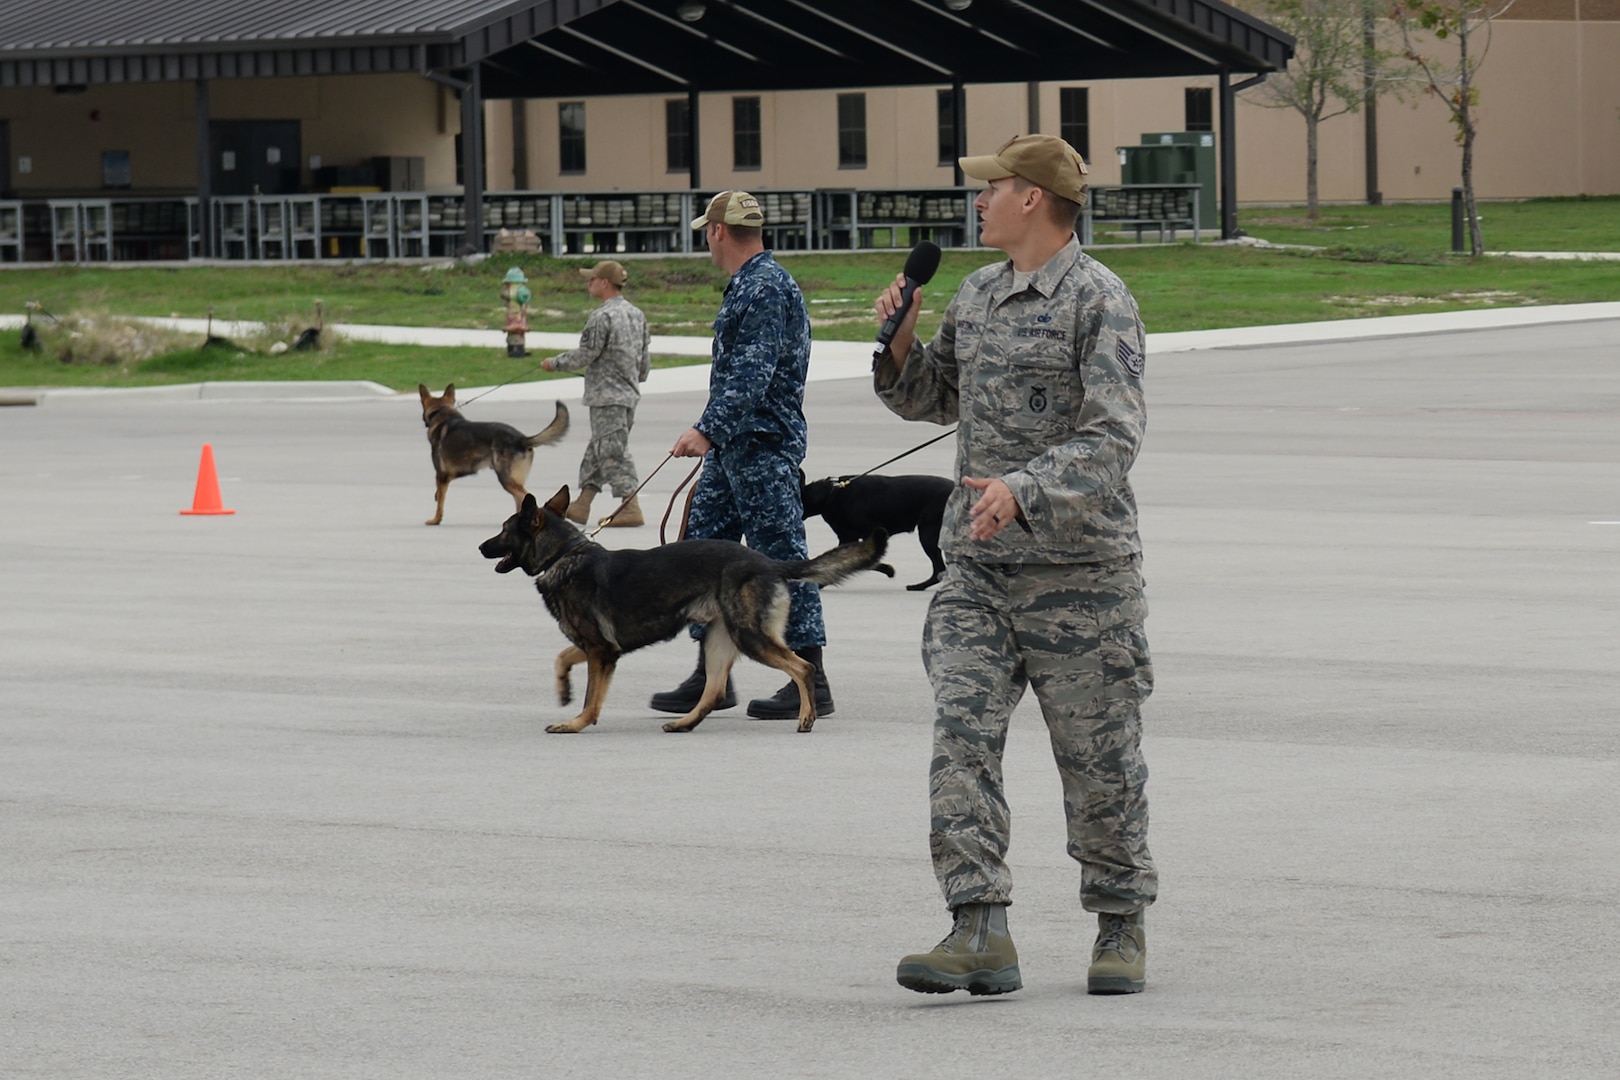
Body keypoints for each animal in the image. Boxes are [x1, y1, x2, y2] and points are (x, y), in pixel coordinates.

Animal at [417, 383, 570, 527]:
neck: (441, 412)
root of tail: (521, 439)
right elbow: (438, 495)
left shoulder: (441, 476)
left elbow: (440, 502)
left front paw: (435, 520)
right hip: (513, 480)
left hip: (506, 479)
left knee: (523, 497)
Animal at [482, 488, 887, 735]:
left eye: (503, 530)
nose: (481, 546)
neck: (563, 553)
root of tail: (768, 563)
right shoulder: (596, 648)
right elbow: (561, 657)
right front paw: (564, 690)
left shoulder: (601, 651)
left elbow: (591, 697)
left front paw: (576, 722)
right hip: (719, 641)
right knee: (714, 690)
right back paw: (684, 724)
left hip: (749, 636)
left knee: (802, 667)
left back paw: (806, 716)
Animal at [803, 472, 952, 592]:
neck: (831, 494)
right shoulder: (847, 538)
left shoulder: (865, 536)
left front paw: (888, 570)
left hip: (928, 535)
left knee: (939, 569)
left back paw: (918, 586)